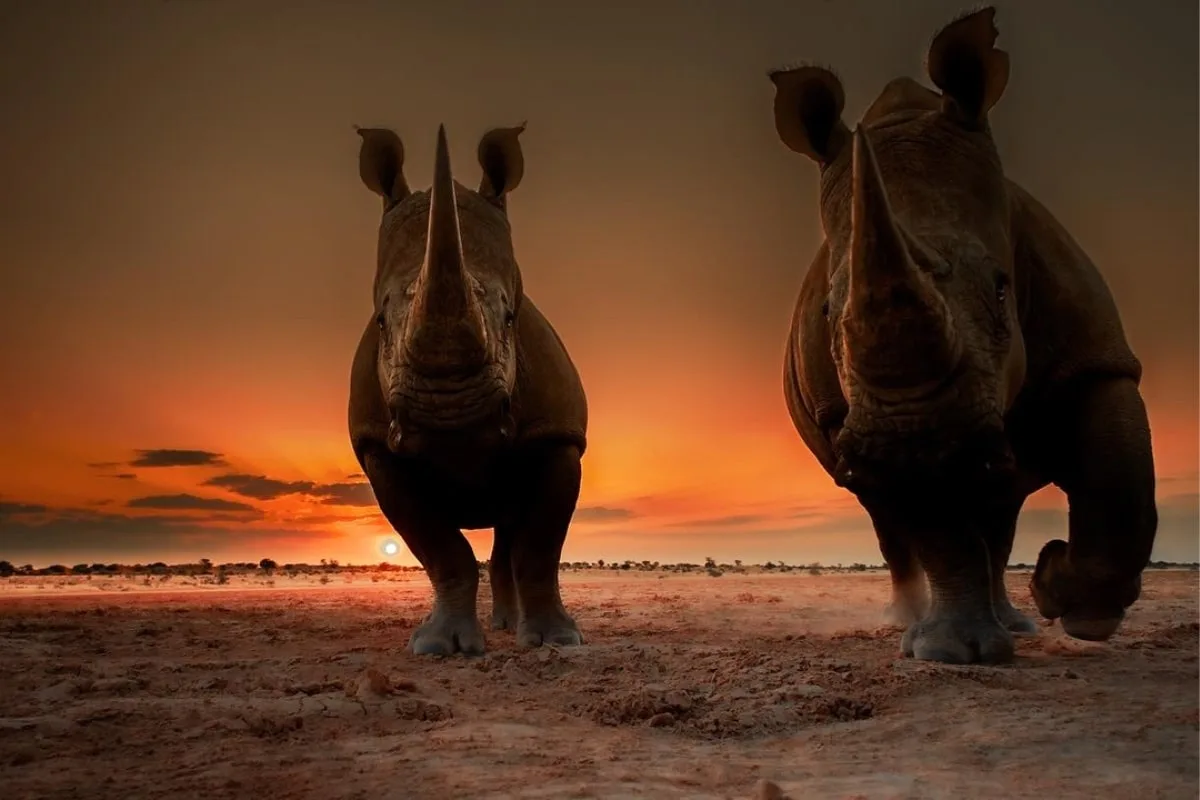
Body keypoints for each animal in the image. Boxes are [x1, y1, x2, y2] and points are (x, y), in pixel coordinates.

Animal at [348, 123, 588, 656]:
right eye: (380, 321)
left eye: (511, 316)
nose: (448, 417)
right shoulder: (375, 444)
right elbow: (442, 551)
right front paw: (440, 648)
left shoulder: (558, 434)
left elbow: (539, 548)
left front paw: (557, 641)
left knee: (510, 535)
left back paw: (510, 627)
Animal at [769, 7, 1156, 664]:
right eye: (825, 314)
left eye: (1002, 289)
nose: (910, 431)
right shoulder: (884, 428)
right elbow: (936, 517)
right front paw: (955, 654)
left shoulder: (1096, 356)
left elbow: (1123, 480)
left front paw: (1074, 607)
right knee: (894, 515)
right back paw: (906, 622)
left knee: (1002, 502)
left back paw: (1021, 618)